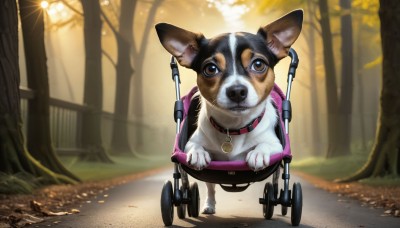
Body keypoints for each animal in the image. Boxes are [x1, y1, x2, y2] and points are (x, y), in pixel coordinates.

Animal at [156, 8, 304, 215]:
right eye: (211, 68)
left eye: (258, 64)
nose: (237, 90)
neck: (233, 128)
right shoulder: (189, 146)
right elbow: (194, 147)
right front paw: (198, 153)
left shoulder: (278, 146)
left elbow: (265, 145)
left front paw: (258, 153)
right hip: (209, 177)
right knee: (210, 188)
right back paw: (208, 205)